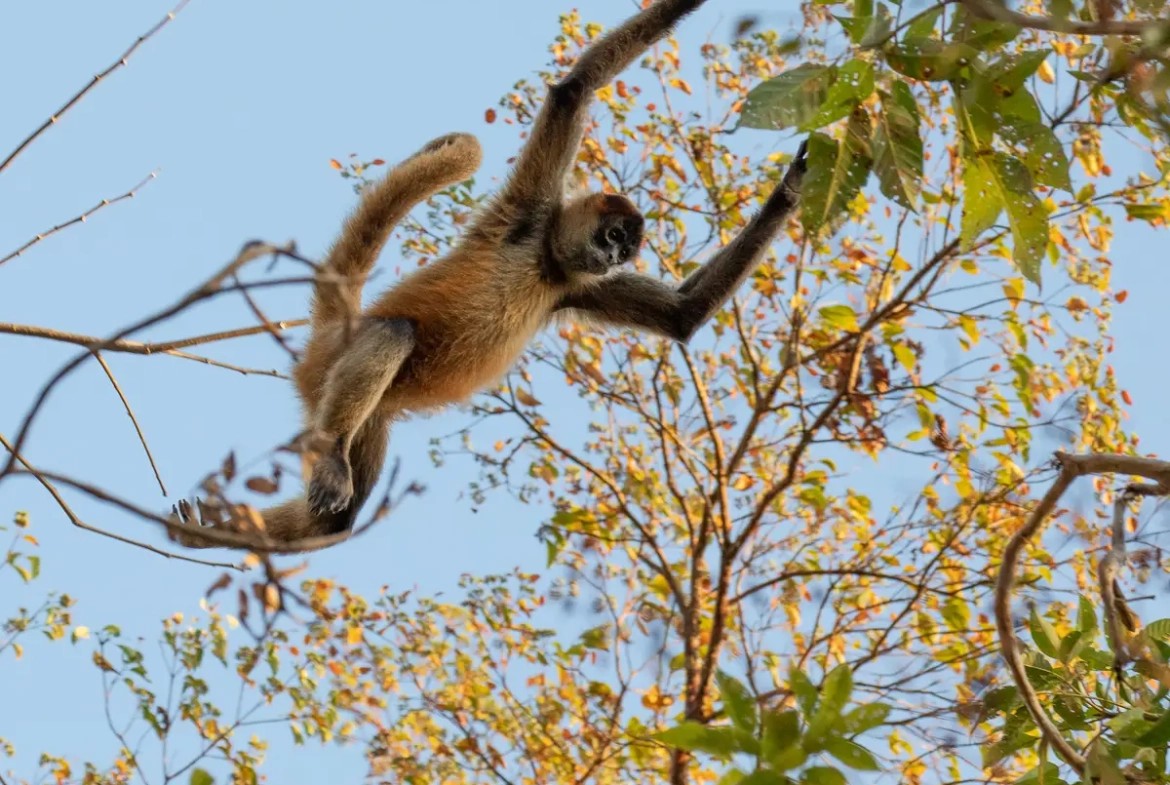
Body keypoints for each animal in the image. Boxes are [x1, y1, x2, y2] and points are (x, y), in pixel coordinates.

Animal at [170, 0, 809, 552]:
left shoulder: (572, 291)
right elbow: (575, 88)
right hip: (332, 367)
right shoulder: (529, 210)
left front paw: (792, 189)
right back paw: (326, 459)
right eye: (611, 238)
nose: (610, 259)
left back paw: (203, 533)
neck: (546, 262)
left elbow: (682, 316)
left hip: (369, 413)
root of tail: (332, 331)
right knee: (392, 334)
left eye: (625, 252)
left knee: (337, 518)